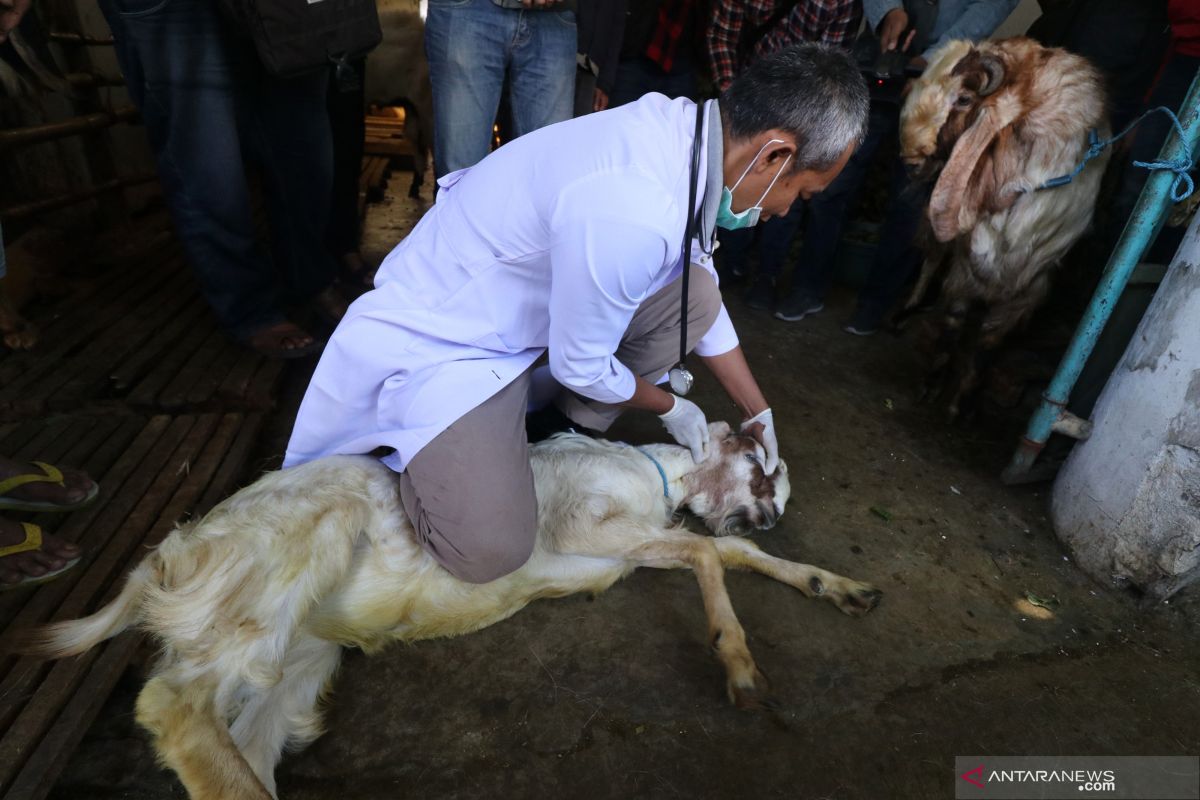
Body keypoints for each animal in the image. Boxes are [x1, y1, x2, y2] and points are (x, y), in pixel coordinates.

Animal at [18, 424, 883, 800]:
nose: (772, 514)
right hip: (284, 557)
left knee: (232, 731)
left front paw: (836, 586)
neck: (655, 476)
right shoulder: (579, 520)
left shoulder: (631, 546)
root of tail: (165, 558)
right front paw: (740, 666)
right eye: (763, 470)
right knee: (170, 702)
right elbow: (709, 553)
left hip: (294, 663)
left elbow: (723, 552)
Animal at [902, 35, 1104, 419]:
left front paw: (959, 402)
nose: (910, 158)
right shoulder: (964, 269)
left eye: (964, 99)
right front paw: (931, 385)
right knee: (931, 259)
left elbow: (987, 343)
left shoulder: (1027, 292)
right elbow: (952, 320)